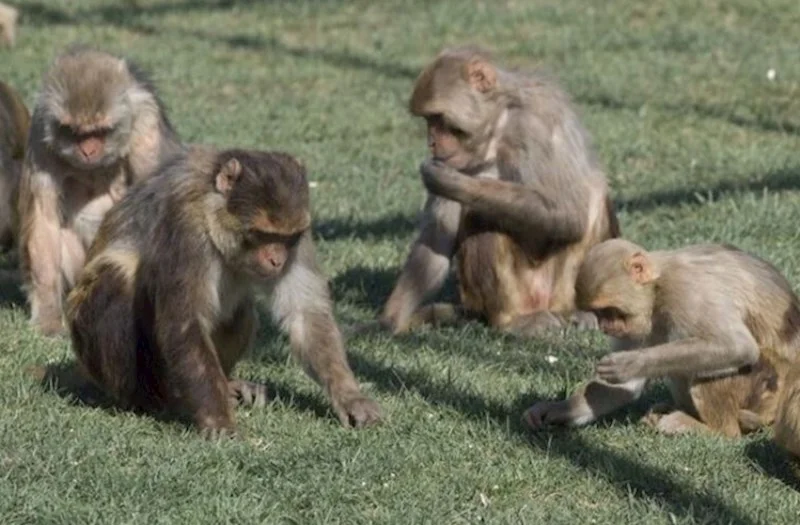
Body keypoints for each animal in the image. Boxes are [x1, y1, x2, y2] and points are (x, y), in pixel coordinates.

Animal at [19, 48, 184, 336]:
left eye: (101, 131)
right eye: (73, 132)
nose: (88, 150)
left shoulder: (146, 127)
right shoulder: (41, 131)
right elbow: (45, 221)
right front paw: (49, 315)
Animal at [66, 146, 384, 434]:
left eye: (286, 238)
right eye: (261, 234)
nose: (277, 260)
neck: (213, 212)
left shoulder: (301, 231)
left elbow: (306, 314)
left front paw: (350, 398)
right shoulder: (186, 227)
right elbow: (186, 323)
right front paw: (217, 419)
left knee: (240, 311)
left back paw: (228, 384)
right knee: (114, 278)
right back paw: (161, 400)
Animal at [380, 47, 620, 338]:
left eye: (438, 118)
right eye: (428, 120)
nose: (432, 143)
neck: (498, 128)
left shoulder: (537, 123)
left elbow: (569, 215)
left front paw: (456, 184)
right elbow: (437, 238)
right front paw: (390, 320)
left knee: (590, 193)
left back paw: (567, 312)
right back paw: (510, 320)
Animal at [520, 239, 800, 436]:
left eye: (610, 311)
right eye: (598, 314)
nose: (605, 327)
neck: (657, 289)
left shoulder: (687, 291)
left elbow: (737, 347)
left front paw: (631, 363)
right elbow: (623, 388)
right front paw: (555, 409)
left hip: (763, 387)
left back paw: (713, 429)